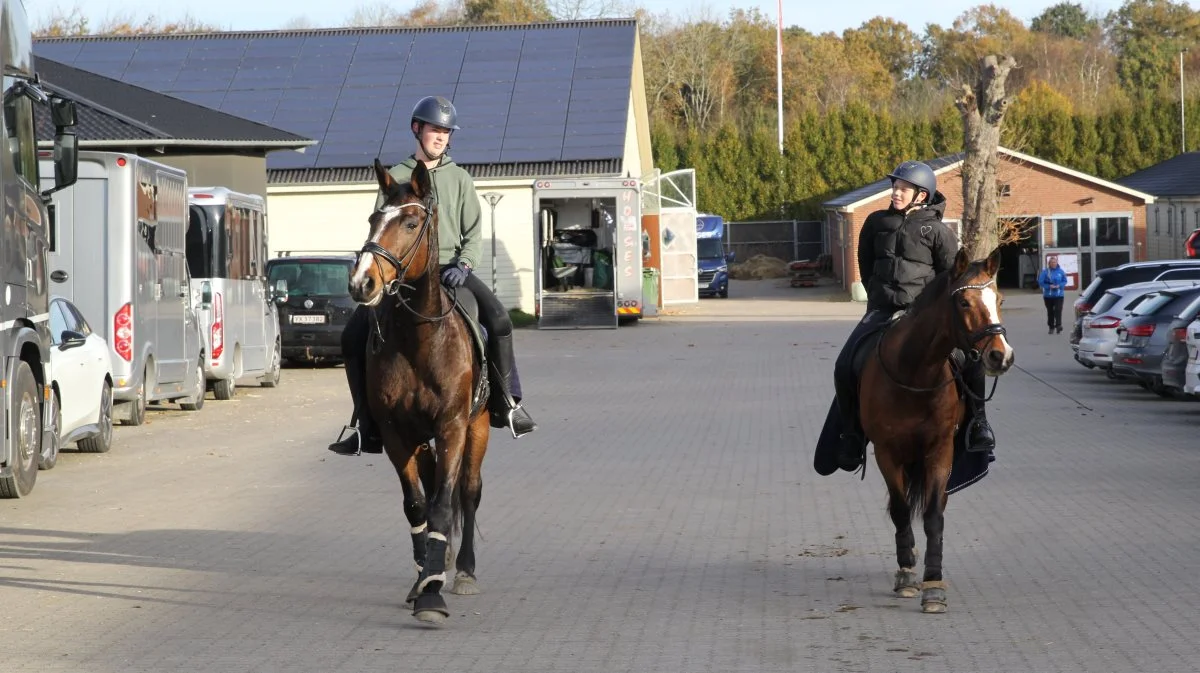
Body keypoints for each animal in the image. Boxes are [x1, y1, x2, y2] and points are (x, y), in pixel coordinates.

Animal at [345, 157, 489, 623]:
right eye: (373, 219)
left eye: (410, 222)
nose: (362, 283)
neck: (420, 340)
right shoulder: (396, 434)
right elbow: (417, 506)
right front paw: (423, 579)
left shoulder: (452, 427)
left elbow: (445, 503)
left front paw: (433, 596)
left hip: (478, 426)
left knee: (469, 491)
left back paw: (464, 571)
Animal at [859, 248, 1017, 614]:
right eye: (964, 303)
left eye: (999, 299)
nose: (1001, 356)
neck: (915, 374)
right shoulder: (887, 453)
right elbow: (901, 510)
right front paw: (906, 574)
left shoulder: (940, 451)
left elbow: (933, 516)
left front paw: (933, 585)